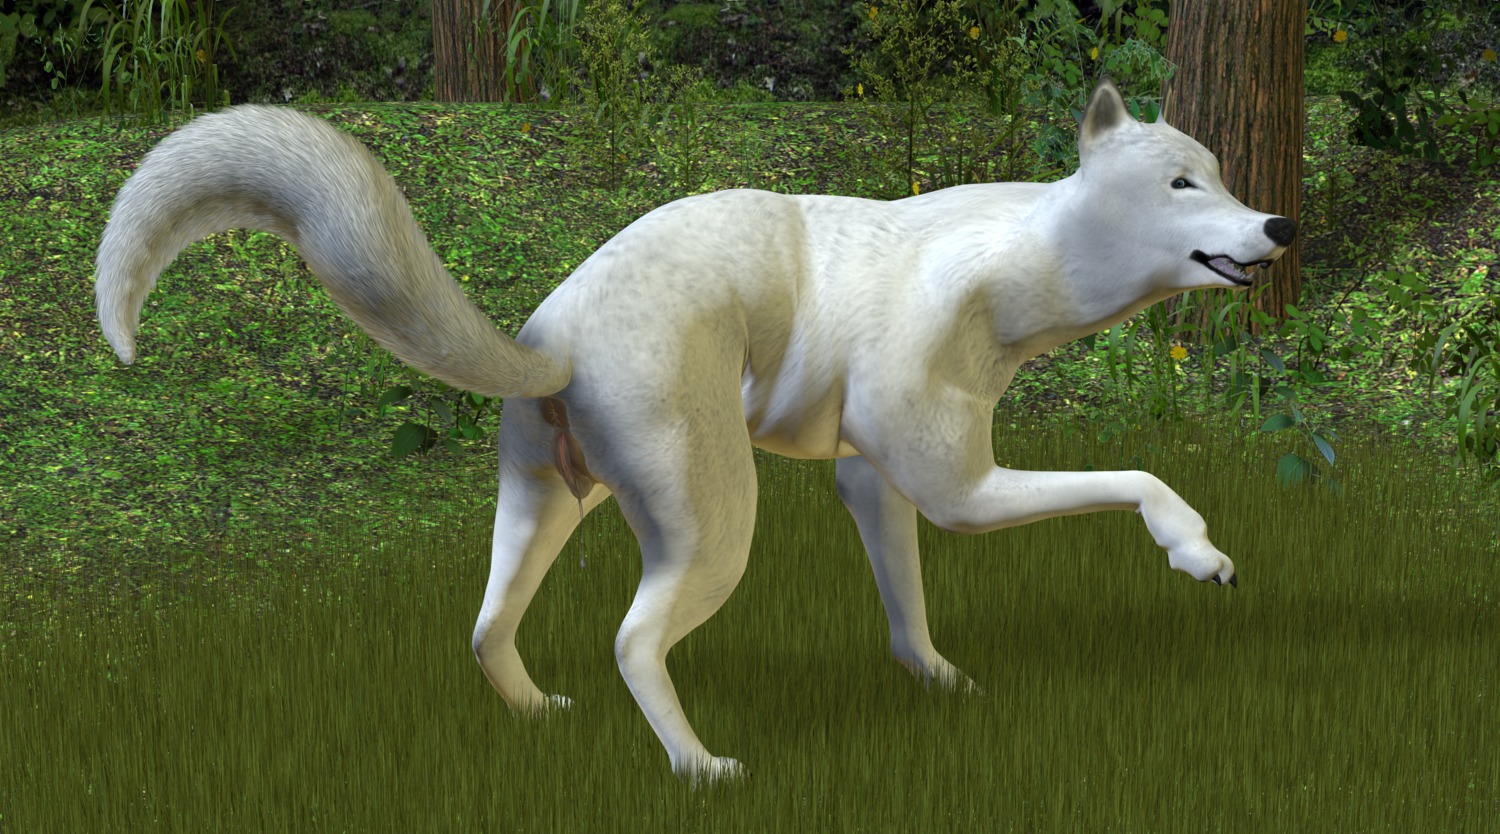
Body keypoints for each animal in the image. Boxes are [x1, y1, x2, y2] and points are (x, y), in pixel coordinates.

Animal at [96, 78, 1296, 782]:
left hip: (547, 507)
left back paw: (539, 719)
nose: (1281, 224)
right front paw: (1199, 554)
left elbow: (907, 610)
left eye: (1223, 175)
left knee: (486, 630)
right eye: (1181, 183)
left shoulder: (873, 483)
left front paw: (942, 685)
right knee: (632, 640)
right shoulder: (956, 488)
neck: (1022, 264)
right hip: (716, 530)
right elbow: (1139, 478)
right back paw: (703, 770)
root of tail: (551, 337)